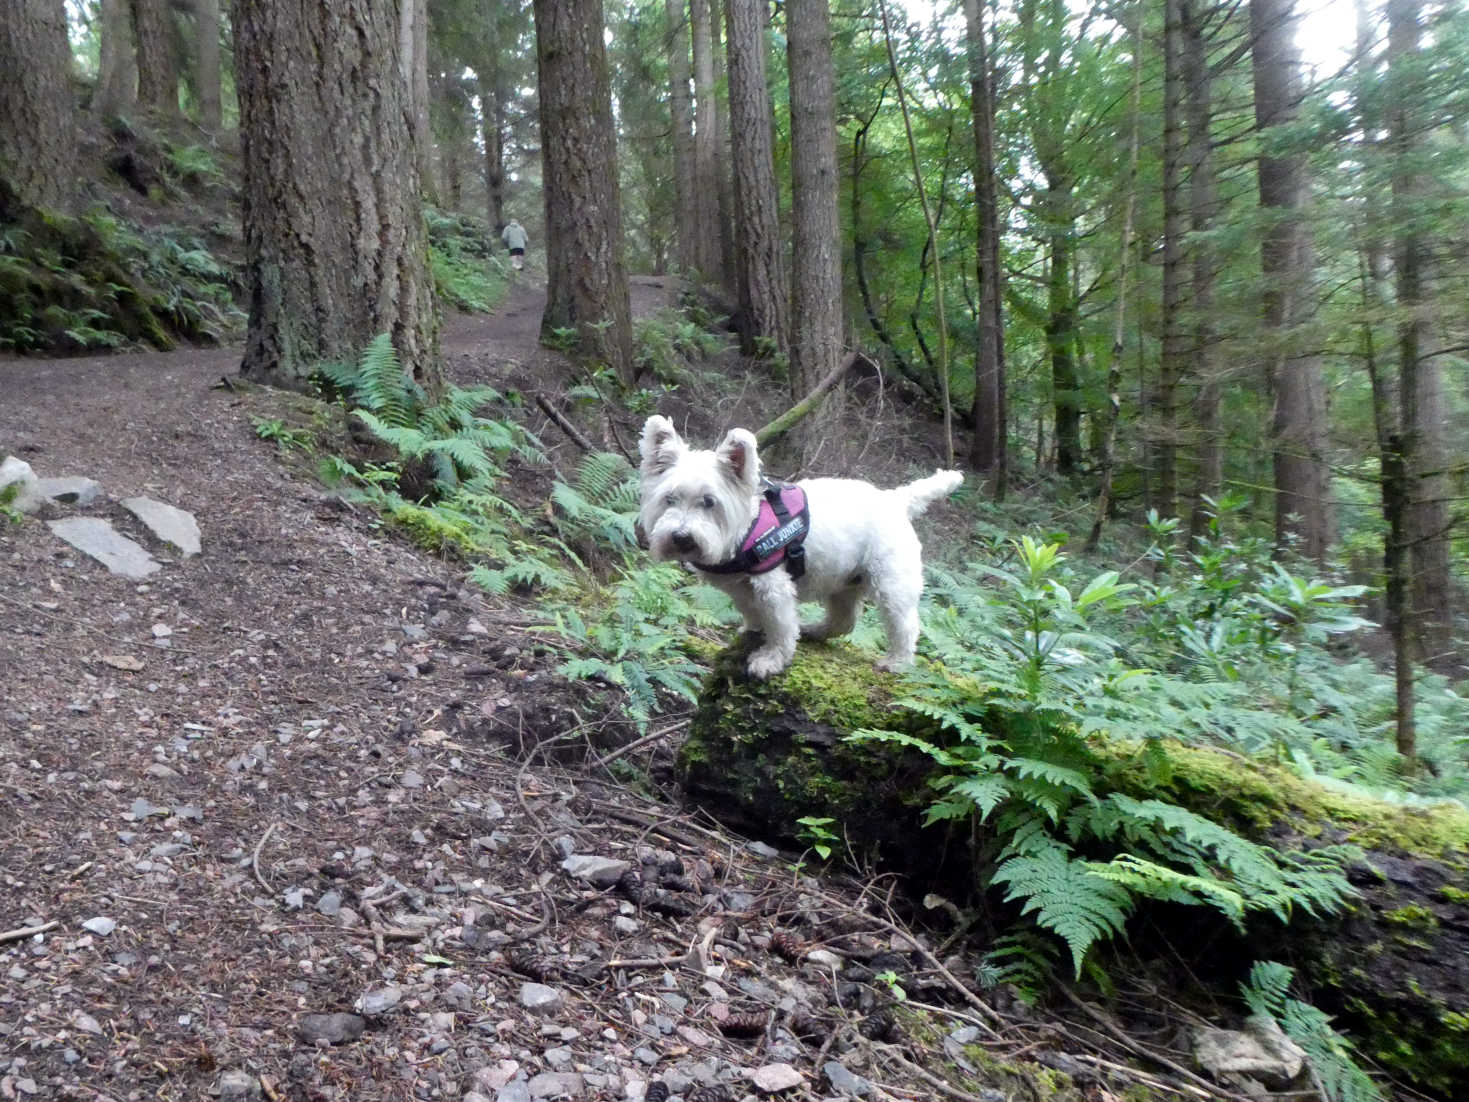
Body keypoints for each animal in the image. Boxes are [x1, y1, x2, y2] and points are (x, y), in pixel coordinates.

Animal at [634, 417, 957, 681]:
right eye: (669, 499)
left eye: (709, 502)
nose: (681, 537)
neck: (748, 526)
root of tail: (896, 499)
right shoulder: (740, 589)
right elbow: (752, 613)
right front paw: (752, 630)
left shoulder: (773, 586)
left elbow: (781, 626)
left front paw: (770, 659)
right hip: (843, 583)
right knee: (845, 620)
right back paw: (815, 630)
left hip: (891, 583)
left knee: (905, 625)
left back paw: (896, 661)